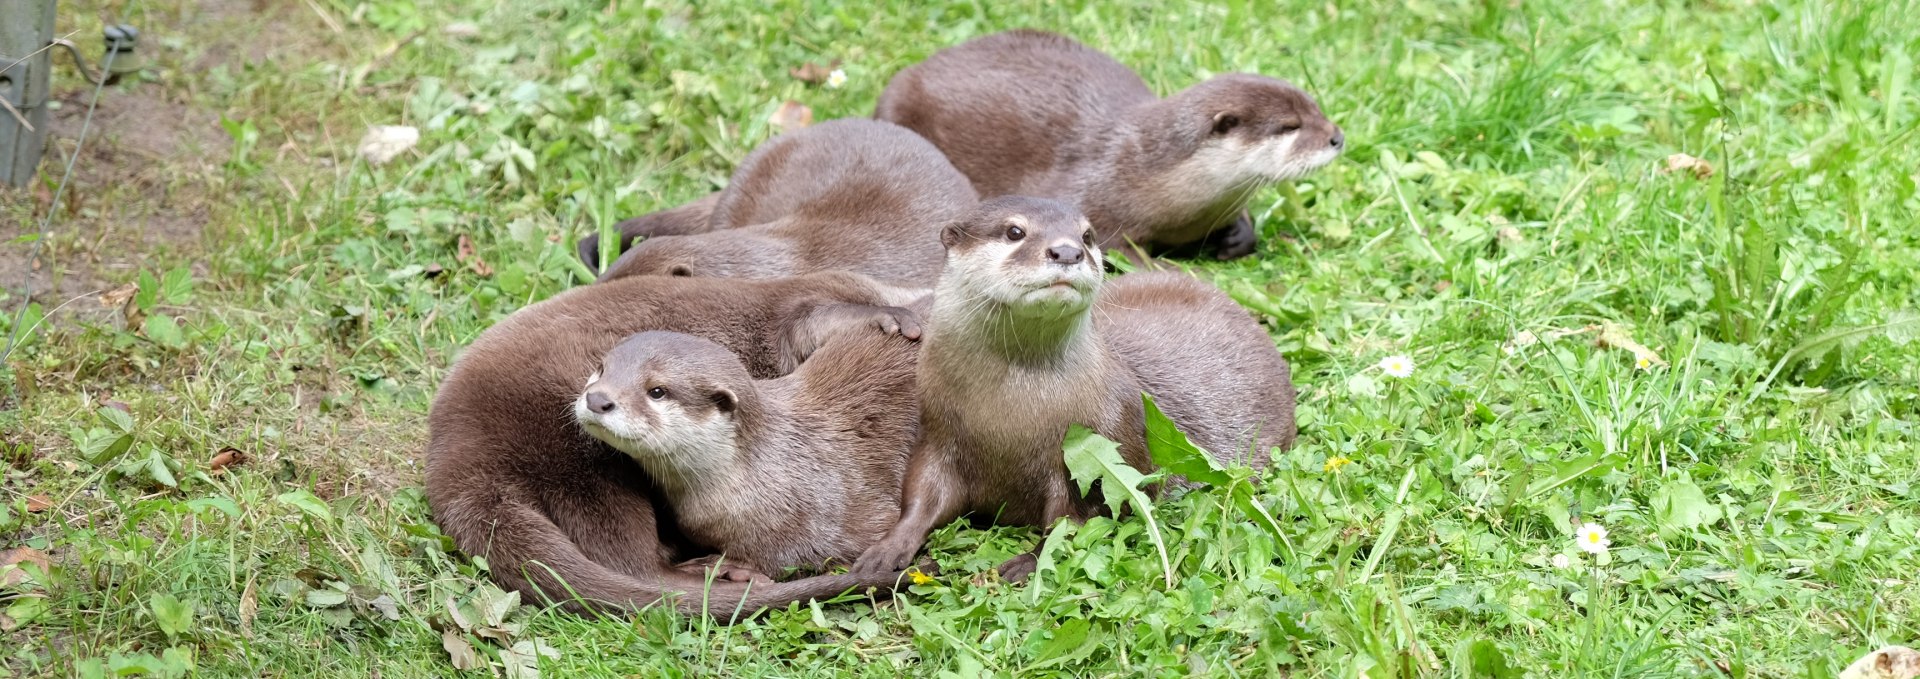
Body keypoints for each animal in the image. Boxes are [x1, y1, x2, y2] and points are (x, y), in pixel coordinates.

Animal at [852, 194, 1290, 579]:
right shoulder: (939, 433)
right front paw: (887, 549)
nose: (1066, 251)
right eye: (1014, 231)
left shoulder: (1105, 445)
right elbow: (924, 495)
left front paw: (1029, 562)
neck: (1009, 414)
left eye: (1088, 236)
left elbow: (1078, 518)